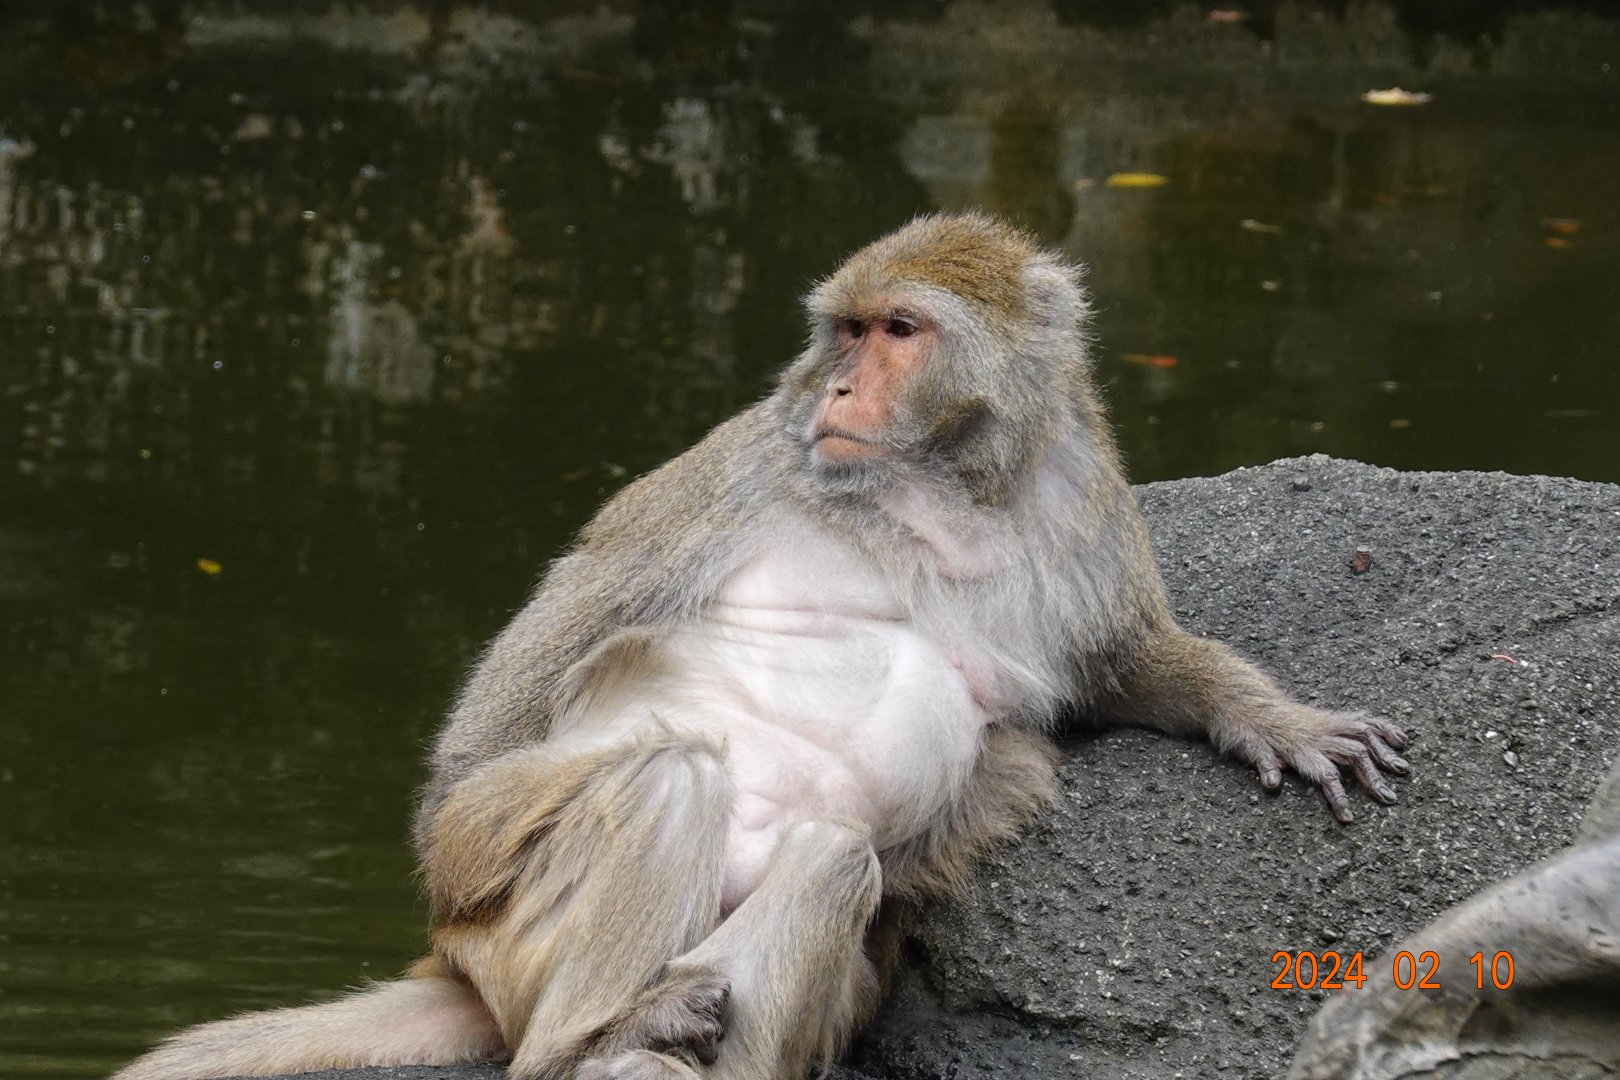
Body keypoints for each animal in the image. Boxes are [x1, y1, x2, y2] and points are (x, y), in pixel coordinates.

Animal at [114, 212, 1409, 1080]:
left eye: (899, 330)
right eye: (843, 332)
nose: (835, 386)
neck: (937, 485)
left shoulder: (1079, 493)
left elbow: (1124, 660)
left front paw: (1272, 719)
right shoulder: (749, 466)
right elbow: (550, 653)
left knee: (834, 856)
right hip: (516, 945)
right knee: (660, 780)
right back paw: (595, 1030)